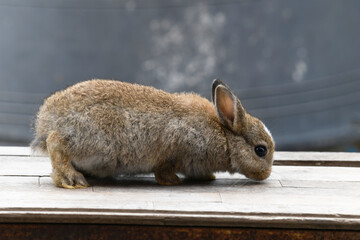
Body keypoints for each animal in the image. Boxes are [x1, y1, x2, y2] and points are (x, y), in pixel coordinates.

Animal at [32, 79, 274, 188]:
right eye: (260, 150)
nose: (266, 174)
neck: (224, 136)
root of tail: (46, 119)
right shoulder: (176, 147)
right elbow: (164, 168)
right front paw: (173, 181)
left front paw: (207, 177)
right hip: (96, 145)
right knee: (55, 142)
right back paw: (71, 179)